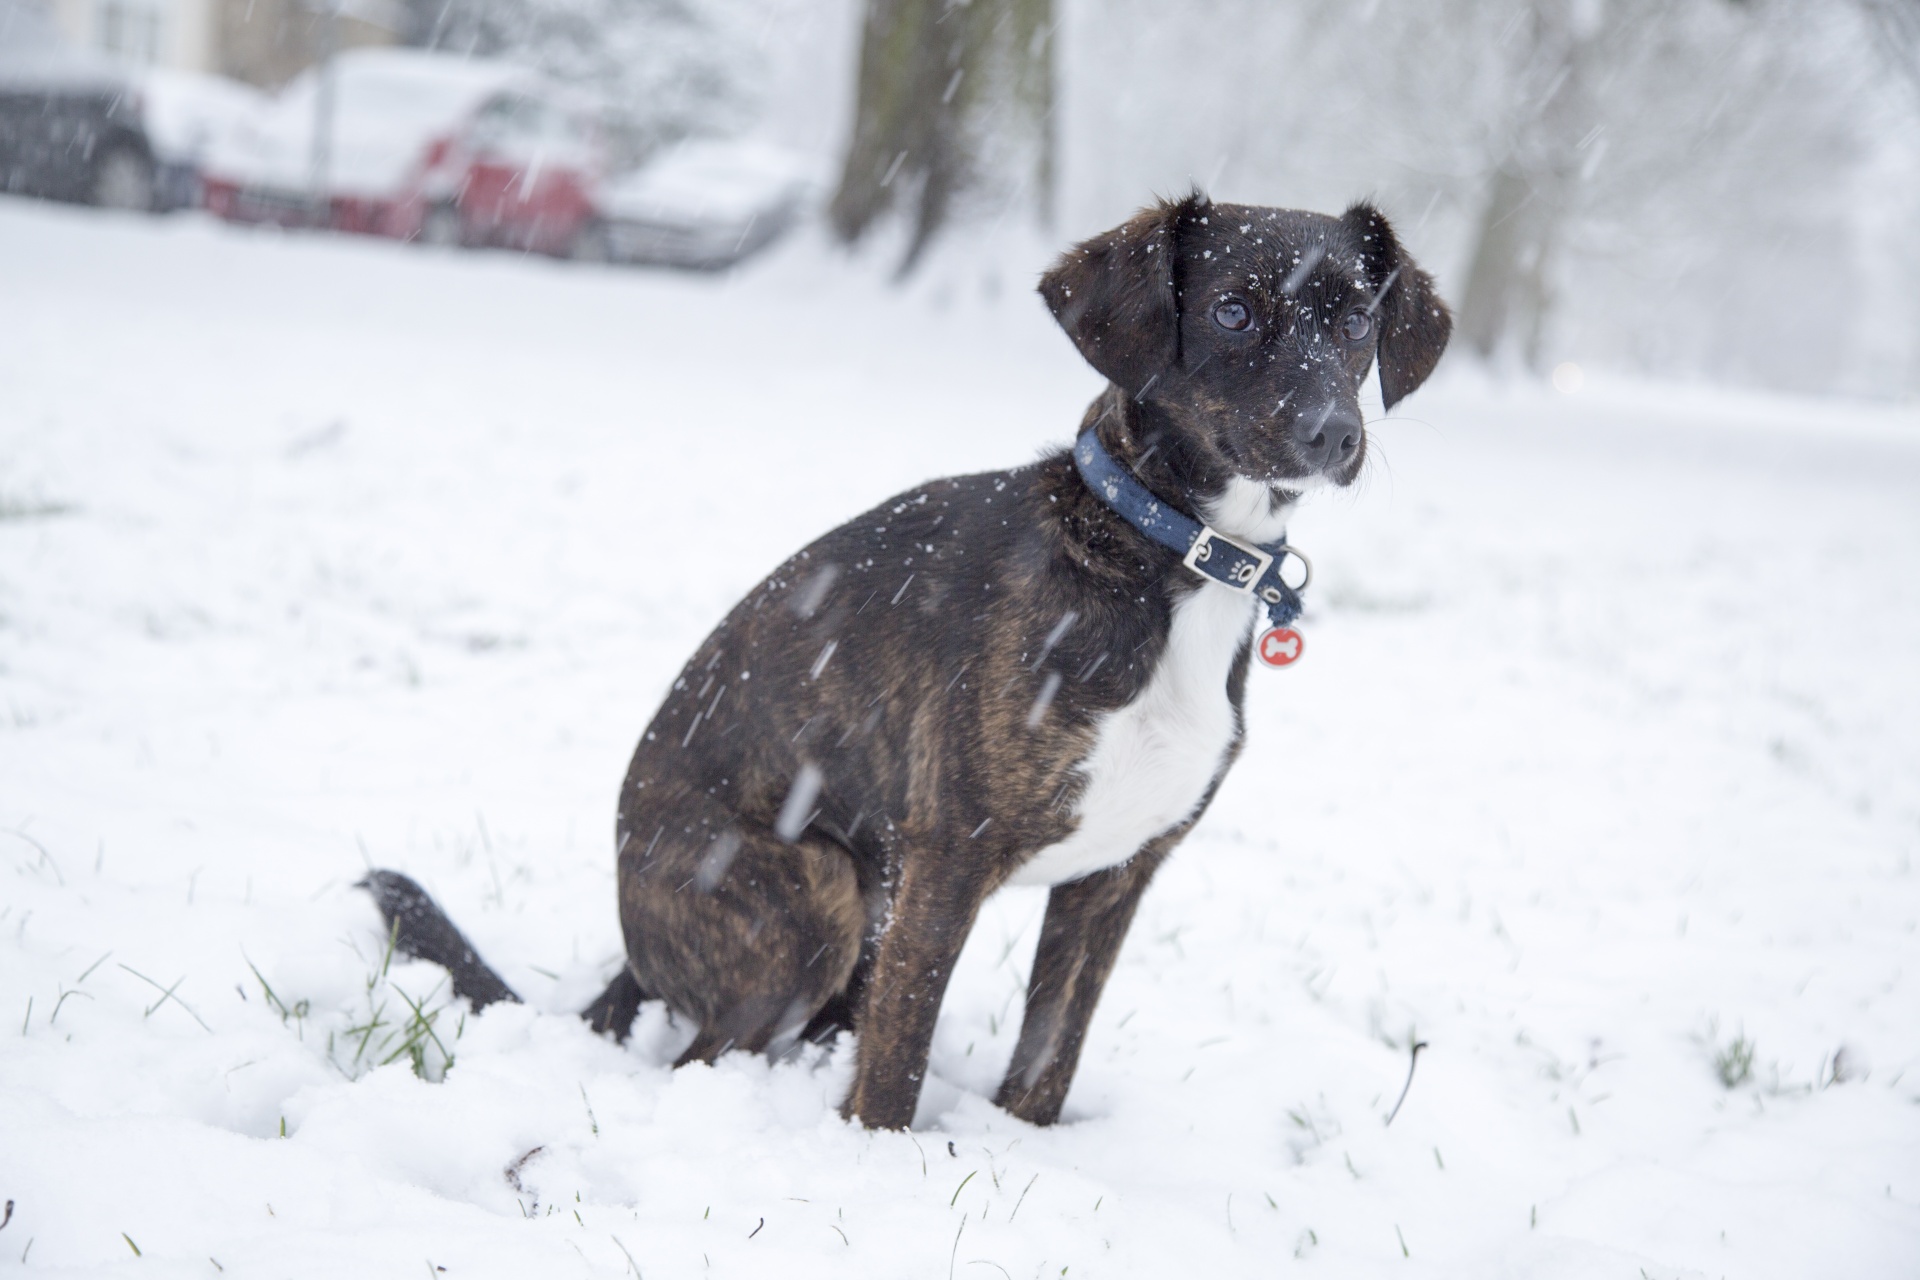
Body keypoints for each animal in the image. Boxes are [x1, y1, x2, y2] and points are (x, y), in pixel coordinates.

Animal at [360, 188, 1443, 1128]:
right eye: (1230, 310)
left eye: (1355, 322)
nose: (1333, 434)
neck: (1164, 555)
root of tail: (630, 939)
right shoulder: (950, 854)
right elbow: (899, 1058)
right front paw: (881, 1160)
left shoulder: (1115, 876)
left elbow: (1047, 1057)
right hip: (816, 896)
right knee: (705, 1055)